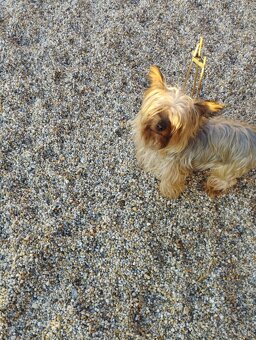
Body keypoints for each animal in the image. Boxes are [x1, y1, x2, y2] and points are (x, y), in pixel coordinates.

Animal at [132, 65, 256, 198]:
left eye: (175, 122)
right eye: (159, 109)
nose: (160, 126)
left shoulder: (173, 170)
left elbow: (170, 182)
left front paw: (168, 192)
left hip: (230, 167)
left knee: (227, 180)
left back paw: (213, 187)